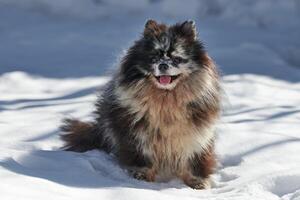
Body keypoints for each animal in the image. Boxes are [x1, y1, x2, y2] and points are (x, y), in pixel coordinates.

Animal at [60, 19, 220, 190]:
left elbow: (193, 160)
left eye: (176, 59)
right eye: (154, 57)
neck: (165, 100)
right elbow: (142, 157)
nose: (163, 65)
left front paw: (198, 182)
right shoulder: (137, 133)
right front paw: (141, 178)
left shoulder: (195, 135)